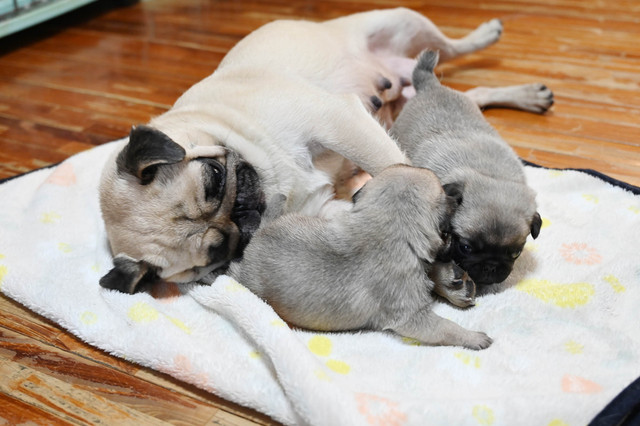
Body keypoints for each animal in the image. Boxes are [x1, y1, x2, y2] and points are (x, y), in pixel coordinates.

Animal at [229, 165, 491, 350]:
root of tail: (259, 236)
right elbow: (446, 328)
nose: (456, 194)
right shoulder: (413, 318)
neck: (386, 228)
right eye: (443, 191)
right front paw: (473, 337)